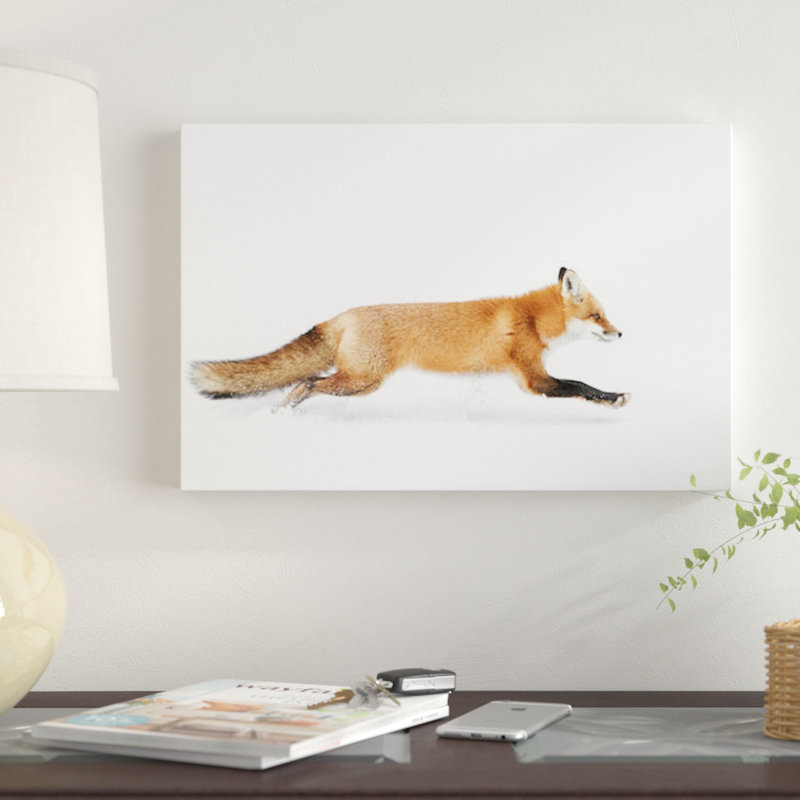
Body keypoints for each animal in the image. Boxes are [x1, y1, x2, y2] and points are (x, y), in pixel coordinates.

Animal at [191, 267, 630, 409]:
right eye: (597, 316)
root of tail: (342, 316)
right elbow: (580, 384)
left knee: (306, 383)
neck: (532, 319)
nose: (620, 332)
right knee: (306, 383)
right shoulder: (534, 379)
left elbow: (578, 383)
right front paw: (613, 397)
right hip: (360, 381)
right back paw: (280, 416)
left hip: (362, 385)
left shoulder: (532, 377)